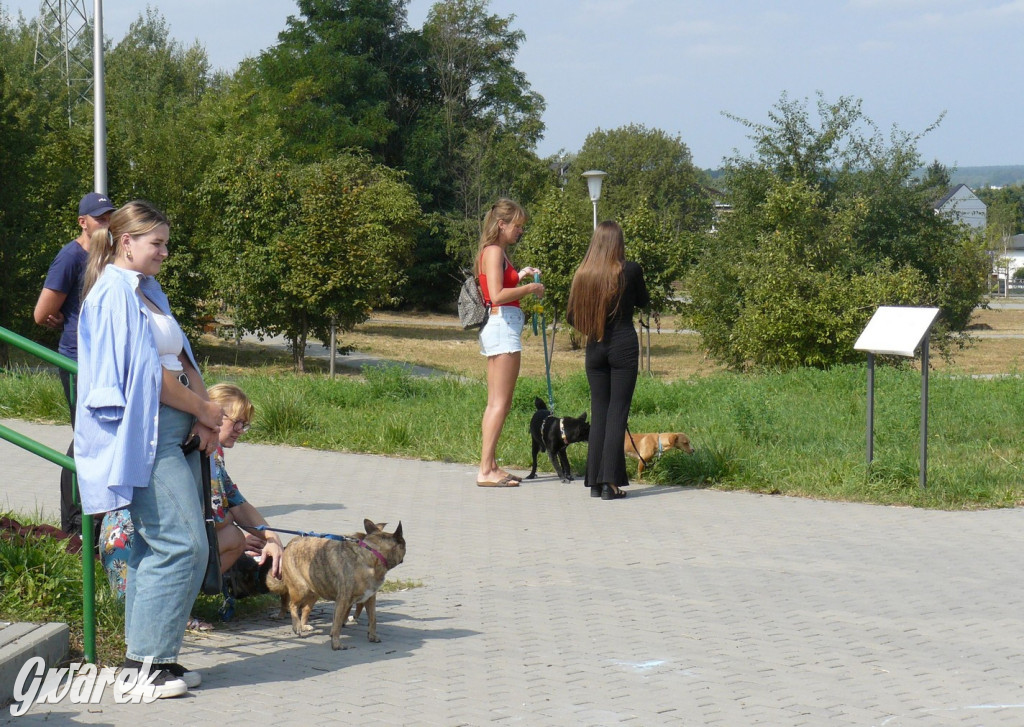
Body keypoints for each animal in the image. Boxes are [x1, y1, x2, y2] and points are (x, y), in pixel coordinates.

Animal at [268, 520, 403, 651]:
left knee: (305, 608)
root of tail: (290, 543)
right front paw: (336, 644)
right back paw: (296, 626)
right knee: (292, 605)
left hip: (314, 591)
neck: (372, 554)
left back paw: (303, 625)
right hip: (301, 590)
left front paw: (372, 636)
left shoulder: (369, 598)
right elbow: (337, 624)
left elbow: (373, 618)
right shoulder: (343, 601)